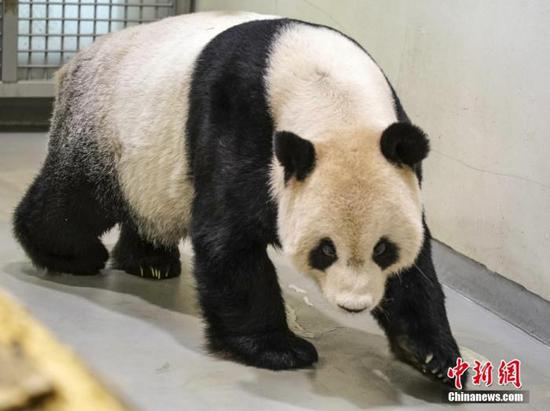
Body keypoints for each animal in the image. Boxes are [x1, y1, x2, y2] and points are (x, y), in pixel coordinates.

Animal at [14, 11, 466, 388]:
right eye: (326, 250)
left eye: (383, 249)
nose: (353, 305)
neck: (330, 94)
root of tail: (75, 59)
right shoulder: (239, 119)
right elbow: (227, 239)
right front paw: (280, 349)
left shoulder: (398, 160)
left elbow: (419, 262)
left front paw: (433, 356)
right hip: (104, 128)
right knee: (76, 199)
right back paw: (73, 256)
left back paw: (150, 262)